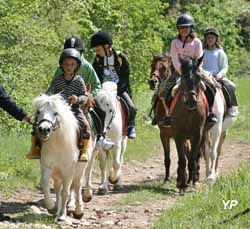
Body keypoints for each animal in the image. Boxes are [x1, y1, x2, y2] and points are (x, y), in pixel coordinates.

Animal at [33, 93, 94, 222]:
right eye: (38, 111)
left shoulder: (68, 170)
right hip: (57, 173)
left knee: (77, 184)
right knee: (57, 187)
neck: (58, 143)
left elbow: (66, 191)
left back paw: (78, 211)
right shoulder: (47, 167)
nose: (44, 129)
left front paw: (62, 215)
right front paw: (52, 208)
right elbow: (45, 184)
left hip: (81, 167)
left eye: (55, 113)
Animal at [147, 54, 190, 182]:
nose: (152, 82)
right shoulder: (164, 135)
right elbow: (167, 158)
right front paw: (167, 178)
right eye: (152, 65)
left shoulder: (181, 136)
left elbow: (185, 155)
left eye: (164, 68)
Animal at [172, 56, 207, 193]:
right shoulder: (178, 135)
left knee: (196, 156)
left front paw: (191, 182)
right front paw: (182, 184)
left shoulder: (197, 134)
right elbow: (182, 159)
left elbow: (192, 159)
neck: (188, 111)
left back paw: (194, 177)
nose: (191, 101)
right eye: (183, 76)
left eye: (199, 77)